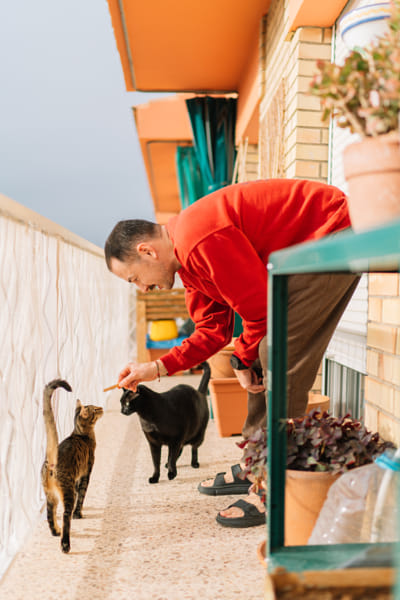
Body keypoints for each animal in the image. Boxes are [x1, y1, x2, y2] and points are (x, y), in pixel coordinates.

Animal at [40, 380, 103, 552]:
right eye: (95, 409)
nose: (101, 407)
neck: (81, 434)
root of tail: (51, 463)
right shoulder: (85, 473)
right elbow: (81, 495)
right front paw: (78, 514)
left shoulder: (77, 477)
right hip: (66, 492)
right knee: (65, 516)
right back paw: (65, 544)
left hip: (50, 495)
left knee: (50, 514)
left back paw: (56, 531)